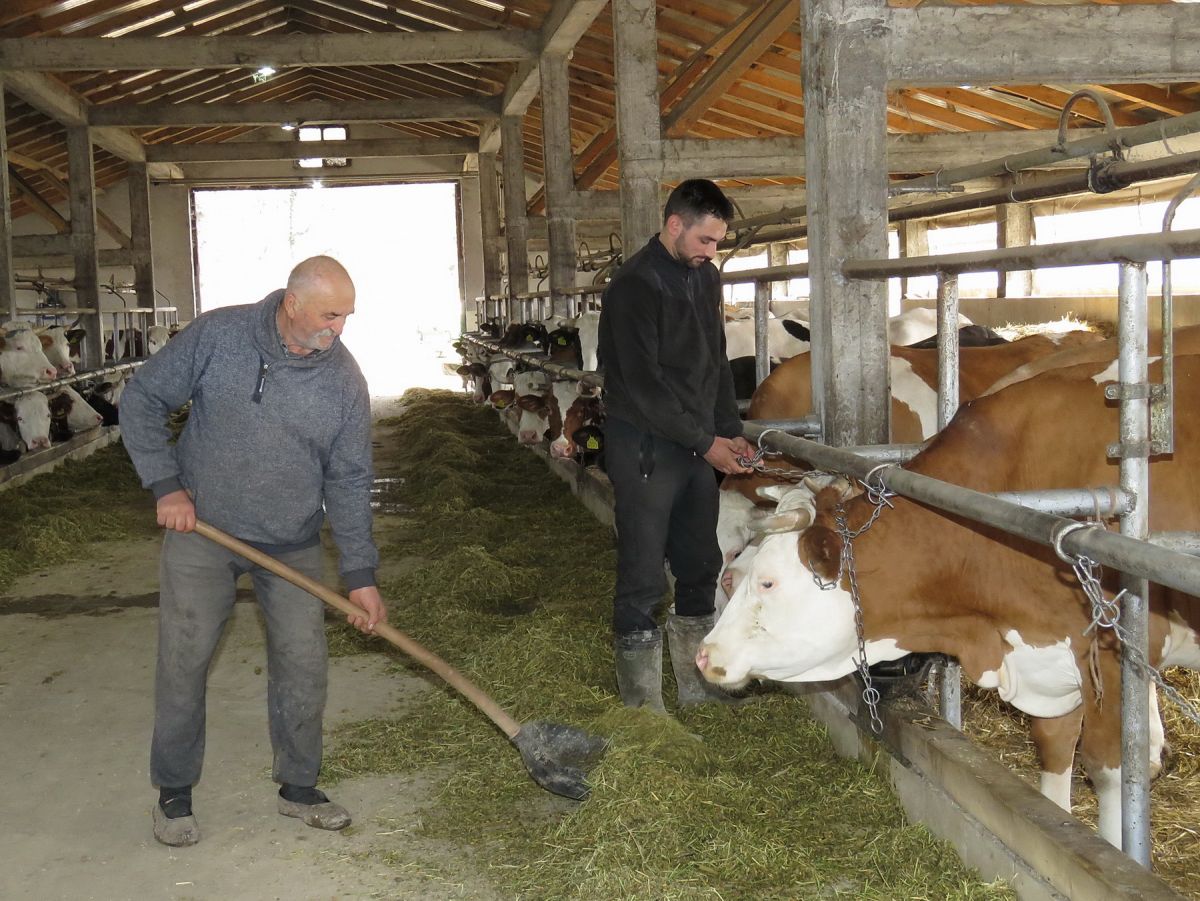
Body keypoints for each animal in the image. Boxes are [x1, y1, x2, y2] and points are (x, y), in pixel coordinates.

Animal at [700, 355, 1200, 844]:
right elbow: (1053, 742)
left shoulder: (1120, 649)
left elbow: (1111, 769)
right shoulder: (1054, 648)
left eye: (765, 582)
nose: (704, 654)